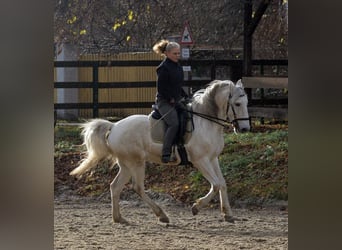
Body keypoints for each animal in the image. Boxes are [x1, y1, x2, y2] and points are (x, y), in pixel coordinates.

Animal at [71, 79, 250, 224]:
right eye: (238, 104)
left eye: (247, 102)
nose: (245, 129)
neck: (206, 122)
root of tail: (114, 126)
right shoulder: (201, 160)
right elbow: (216, 184)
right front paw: (197, 207)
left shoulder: (213, 159)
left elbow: (223, 183)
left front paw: (228, 214)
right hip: (136, 163)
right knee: (138, 187)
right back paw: (161, 215)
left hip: (127, 165)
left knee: (115, 187)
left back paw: (119, 218)